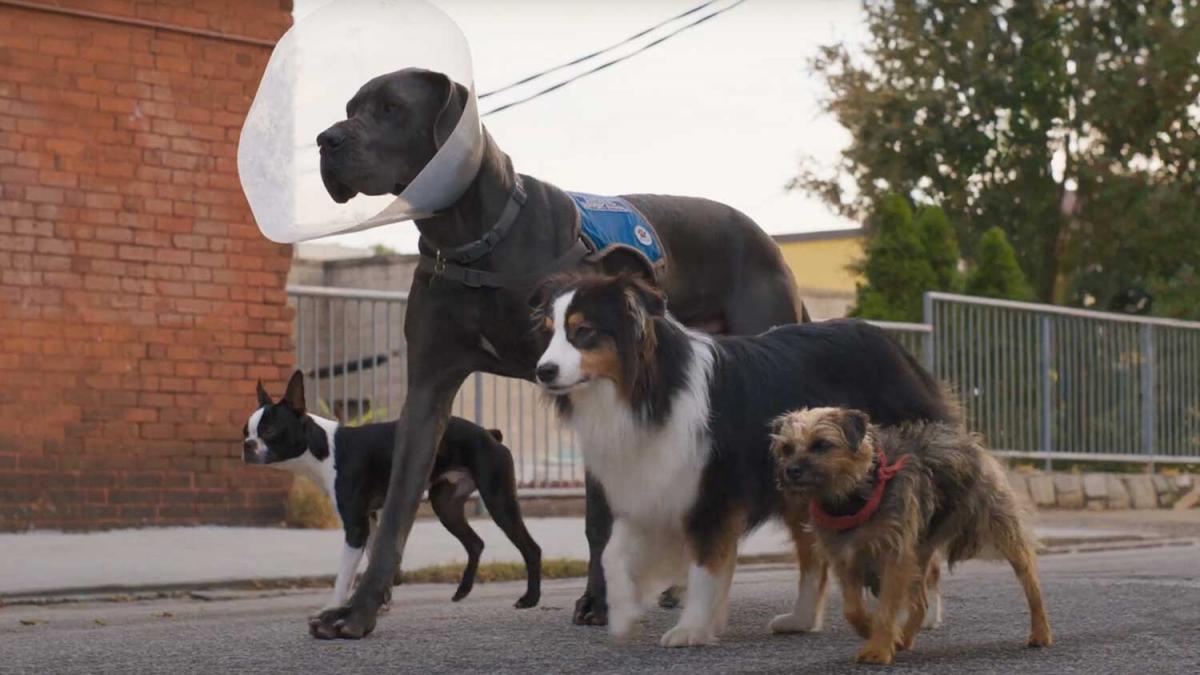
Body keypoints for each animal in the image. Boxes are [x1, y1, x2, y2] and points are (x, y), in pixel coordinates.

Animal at [241, 369, 542, 607]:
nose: (247, 445)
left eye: (269, 431)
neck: (324, 448)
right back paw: (463, 590)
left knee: (530, 547)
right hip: (445, 504)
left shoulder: (356, 526)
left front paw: (334, 609)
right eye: (246, 431)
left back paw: (530, 599)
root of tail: (490, 434)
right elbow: (375, 556)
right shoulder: (371, 517)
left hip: (497, 498)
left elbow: (343, 576)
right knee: (475, 543)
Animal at [535, 273, 955, 648]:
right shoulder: (651, 484)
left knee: (920, 549)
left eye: (583, 330)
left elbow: (705, 565)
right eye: (549, 331)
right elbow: (612, 552)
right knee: (814, 557)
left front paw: (691, 628)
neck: (649, 390)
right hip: (801, 481)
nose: (542, 371)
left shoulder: (712, 492)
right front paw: (623, 615)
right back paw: (801, 619)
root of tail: (894, 346)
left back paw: (919, 613)